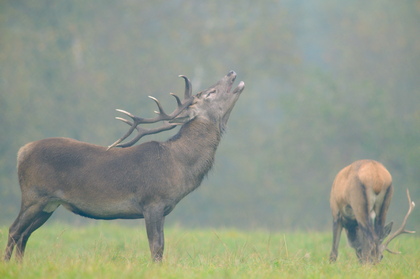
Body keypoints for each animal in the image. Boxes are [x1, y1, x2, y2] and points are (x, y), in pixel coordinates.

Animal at [3, 70, 244, 262]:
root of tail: (21, 152)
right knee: (14, 230)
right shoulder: (152, 201)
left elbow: (162, 246)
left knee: (24, 235)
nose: (232, 72)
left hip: (49, 204)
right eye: (209, 93)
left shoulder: (164, 208)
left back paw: (21, 266)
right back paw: (8, 266)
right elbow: (156, 246)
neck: (179, 164)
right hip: (34, 195)